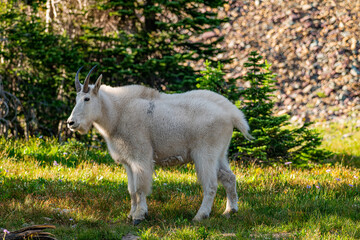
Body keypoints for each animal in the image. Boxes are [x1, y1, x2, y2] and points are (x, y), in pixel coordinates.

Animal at [67, 65, 253, 225]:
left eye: (87, 98)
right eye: (76, 99)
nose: (71, 122)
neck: (117, 113)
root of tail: (233, 114)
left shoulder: (141, 156)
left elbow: (140, 188)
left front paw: (139, 216)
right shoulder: (128, 161)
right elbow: (131, 189)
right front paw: (130, 214)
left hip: (205, 154)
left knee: (211, 185)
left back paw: (200, 216)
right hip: (220, 154)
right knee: (229, 177)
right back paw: (230, 211)